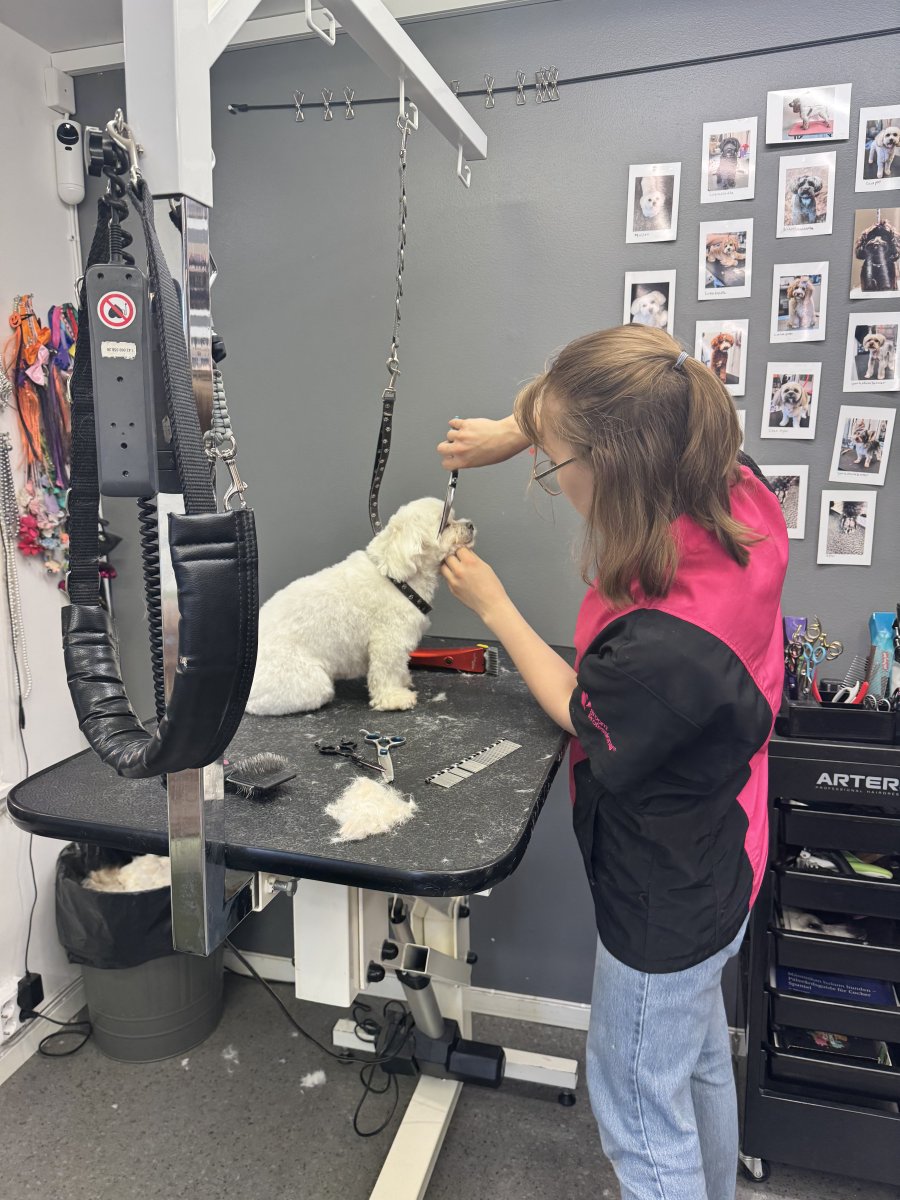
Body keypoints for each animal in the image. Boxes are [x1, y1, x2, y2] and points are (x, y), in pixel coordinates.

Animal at [246, 497, 475, 716]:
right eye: (446, 524)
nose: (470, 524)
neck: (399, 579)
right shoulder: (388, 641)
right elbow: (387, 672)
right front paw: (395, 698)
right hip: (309, 683)